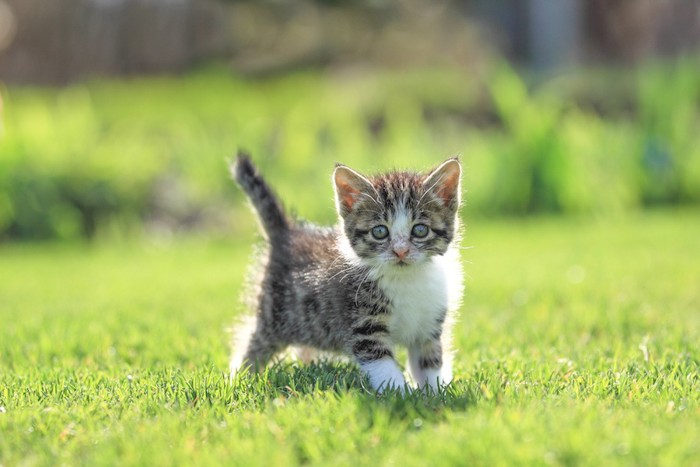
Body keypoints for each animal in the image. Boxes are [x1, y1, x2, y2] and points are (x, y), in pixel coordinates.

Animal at [227, 152, 462, 394]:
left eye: (420, 230)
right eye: (380, 231)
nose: (400, 251)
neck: (407, 279)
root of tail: (287, 235)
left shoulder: (429, 325)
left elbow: (430, 360)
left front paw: (435, 392)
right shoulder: (363, 323)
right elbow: (381, 364)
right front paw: (399, 393)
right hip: (275, 316)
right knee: (252, 343)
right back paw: (239, 378)